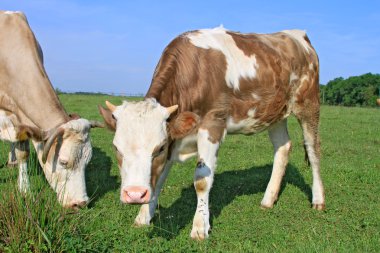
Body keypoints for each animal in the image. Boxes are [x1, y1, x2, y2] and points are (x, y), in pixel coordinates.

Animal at [0, 10, 102, 208]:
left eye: (87, 162)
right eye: (63, 162)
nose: (80, 203)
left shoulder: (23, 118)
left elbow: (23, 152)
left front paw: (24, 190)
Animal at [99, 26, 326, 240]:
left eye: (159, 148)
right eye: (116, 148)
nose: (134, 194)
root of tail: (296, 35)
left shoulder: (212, 124)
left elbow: (201, 180)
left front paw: (199, 228)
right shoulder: (174, 135)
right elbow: (159, 178)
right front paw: (143, 216)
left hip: (308, 103)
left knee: (313, 150)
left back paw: (318, 199)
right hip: (275, 113)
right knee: (283, 147)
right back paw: (268, 199)